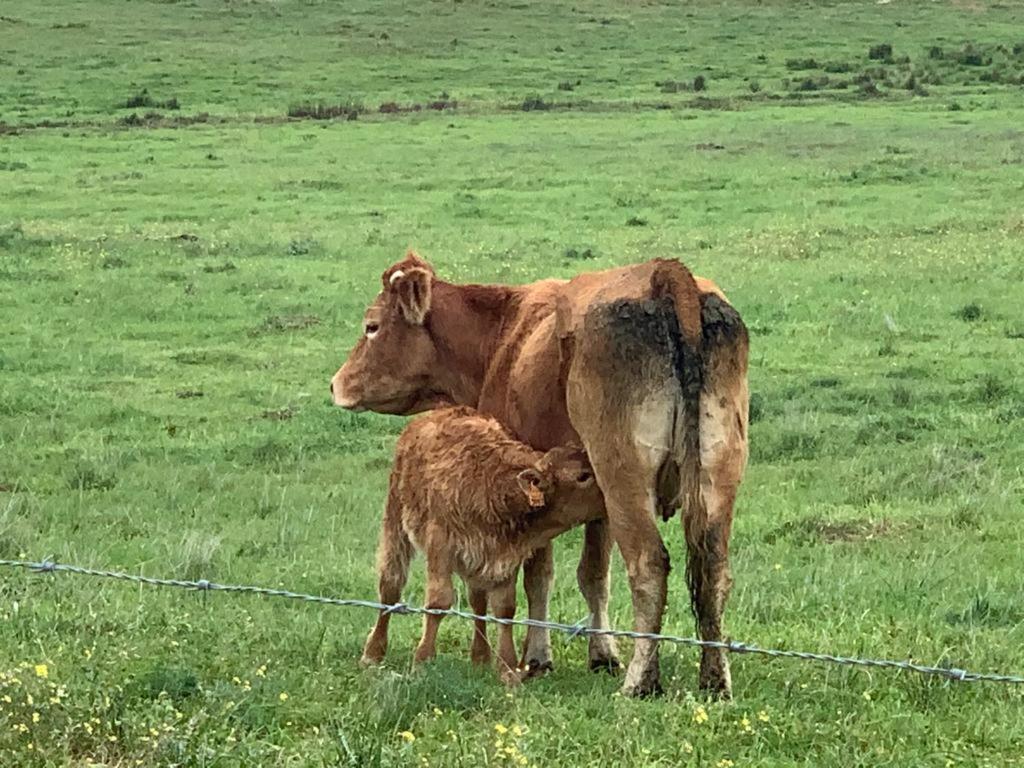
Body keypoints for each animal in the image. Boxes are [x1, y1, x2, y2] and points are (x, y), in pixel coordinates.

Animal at [360, 409, 602, 684]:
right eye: (583, 476)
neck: (496, 486)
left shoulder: (505, 556)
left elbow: (504, 607)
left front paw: (508, 669)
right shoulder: (440, 543)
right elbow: (439, 601)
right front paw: (422, 661)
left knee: (477, 601)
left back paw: (480, 657)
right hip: (395, 519)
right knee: (390, 586)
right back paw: (372, 653)